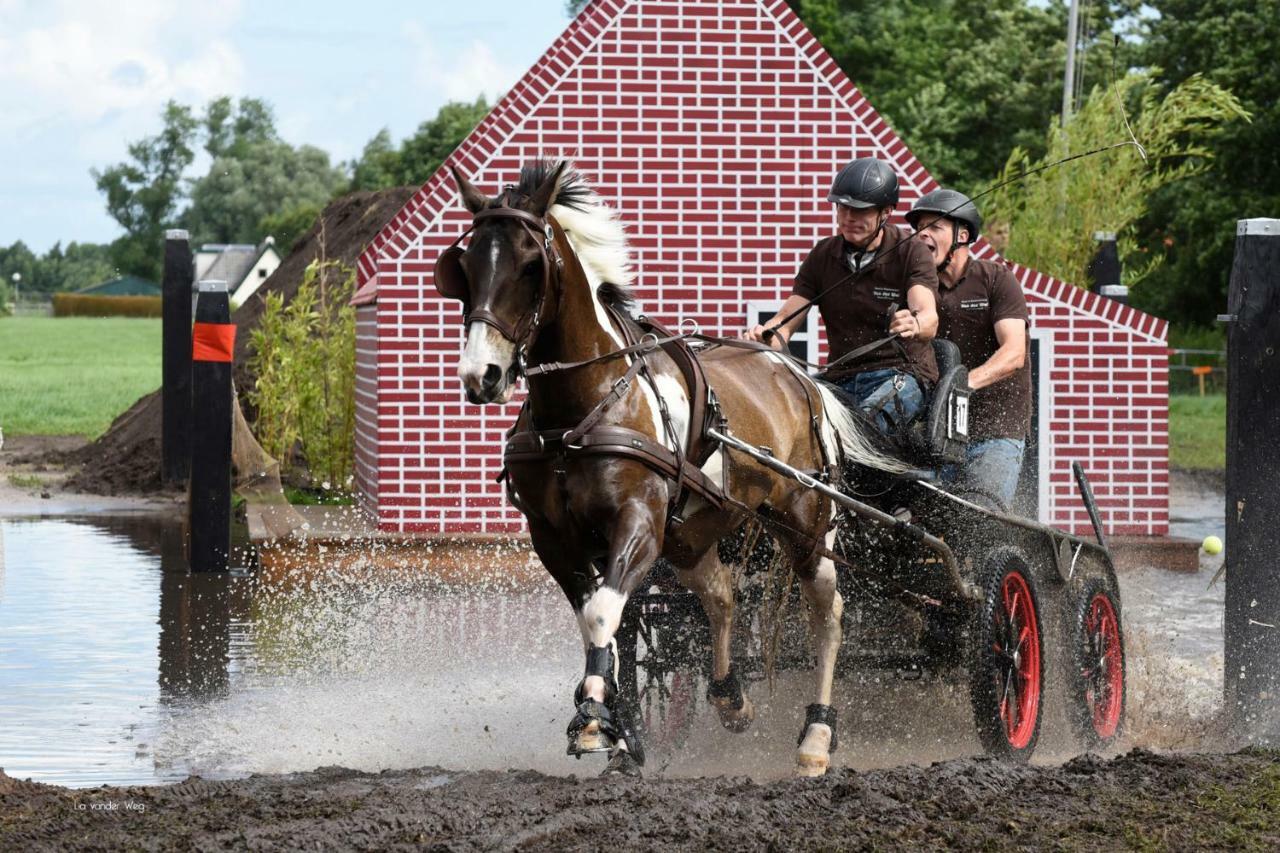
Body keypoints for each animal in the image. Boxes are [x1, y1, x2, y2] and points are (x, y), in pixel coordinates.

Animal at [435, 156, 906, 773]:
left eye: (532, 265)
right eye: (463, 268)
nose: (480, 375)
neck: (583, 409)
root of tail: (802, 376)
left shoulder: (638, 522)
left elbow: (603, 614)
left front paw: (595, 719)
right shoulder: (554, 538)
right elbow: (597, 621)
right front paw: (617, 725)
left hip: (806, 523)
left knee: (827, 612)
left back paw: (816, 737)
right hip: (692, 535)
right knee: (721, 596)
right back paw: (730, 698)